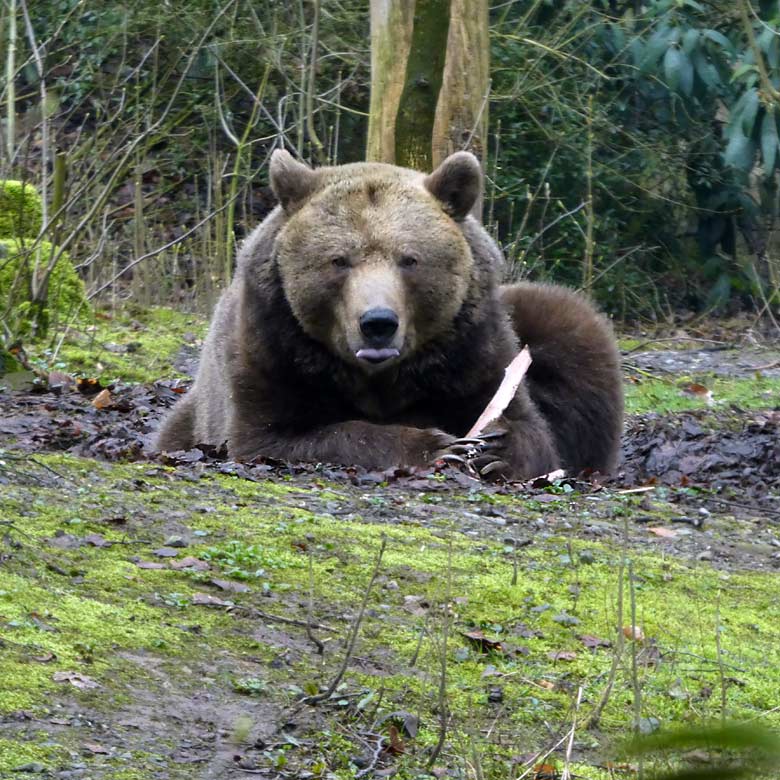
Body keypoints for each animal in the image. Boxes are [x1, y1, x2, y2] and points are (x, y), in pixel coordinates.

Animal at [155, 151, 624, 482]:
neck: (382, 377)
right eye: (339, 260)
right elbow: (277, 435)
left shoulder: (474, 353)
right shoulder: (273, 351)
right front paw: (436, 445)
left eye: (409, 259)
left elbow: (532, 430)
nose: (377, 323)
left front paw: (495, 448)